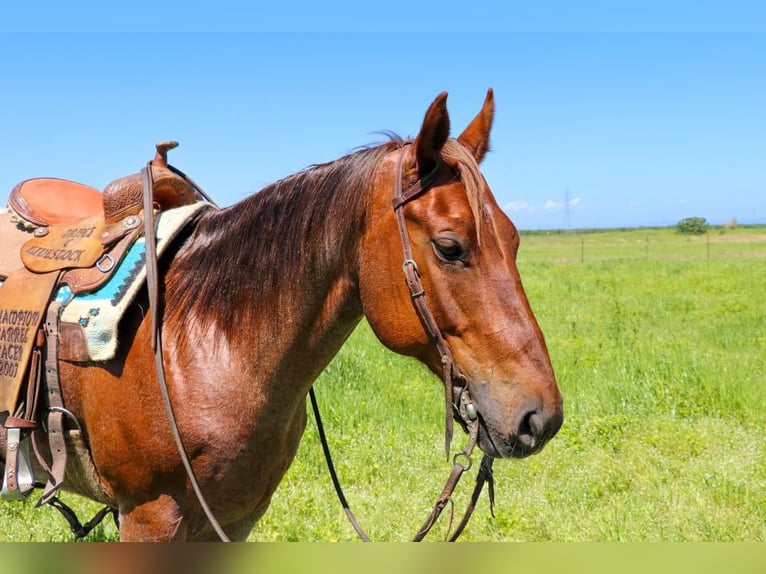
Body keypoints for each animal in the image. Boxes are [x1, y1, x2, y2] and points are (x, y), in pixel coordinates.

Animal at [0, 89, 564, 540]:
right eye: (450, 247)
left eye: (515, 240)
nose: (541, 418)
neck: (206, 342)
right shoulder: (148, 515)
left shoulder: (233, 519)